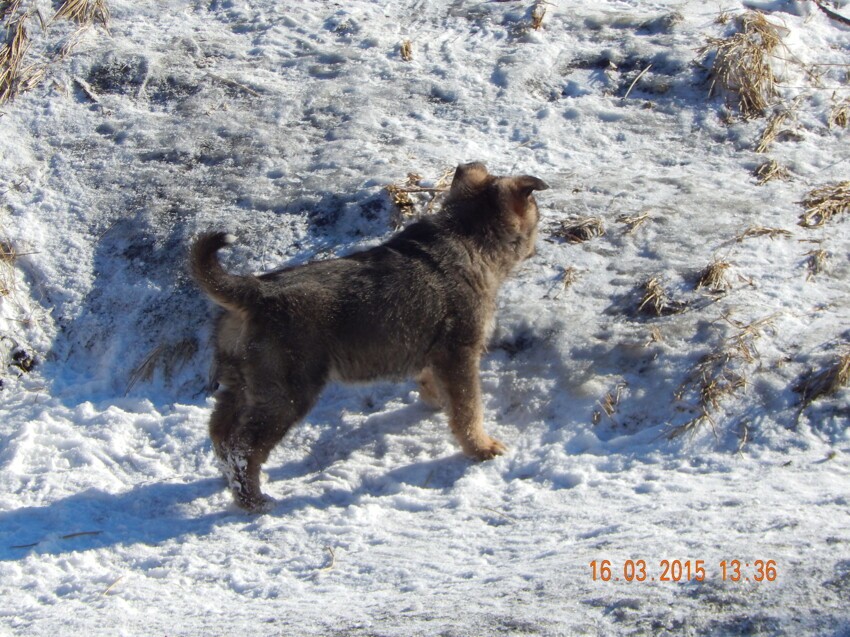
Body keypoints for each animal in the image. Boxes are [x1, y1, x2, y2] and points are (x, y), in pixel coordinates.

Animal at [190, 164, 548, 512]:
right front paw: (481, 447)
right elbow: (468, 409)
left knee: (220, 433)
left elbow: (434, 385)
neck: (466, 235)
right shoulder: (460, 353)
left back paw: (231, 484)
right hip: (285, 393)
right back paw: (255, 502)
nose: (536, 248)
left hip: (240, 383)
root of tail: (253, 292)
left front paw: (436, 404)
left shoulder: (435, 354)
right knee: (243, 448)